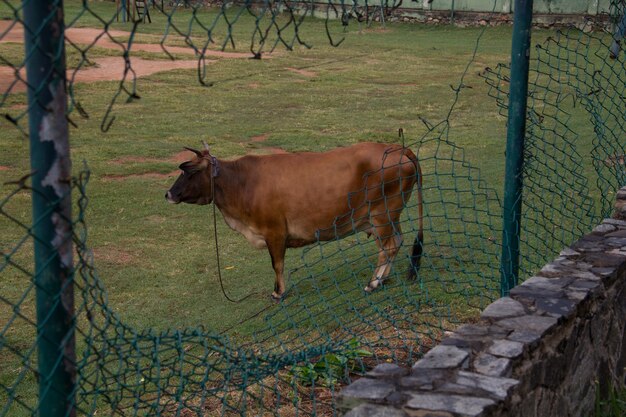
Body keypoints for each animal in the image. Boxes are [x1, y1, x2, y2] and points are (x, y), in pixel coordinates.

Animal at [163, 141, 422, 300]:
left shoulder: (274, 232)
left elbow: (277, 264)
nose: (168, 194)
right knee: (397, 241)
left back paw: (373, 283)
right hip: (390, 216)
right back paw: (383, 278)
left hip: (381, 215)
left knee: (388, 246)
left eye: (189, 171)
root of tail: (397, 148)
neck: (241, 183)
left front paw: (279, 292)